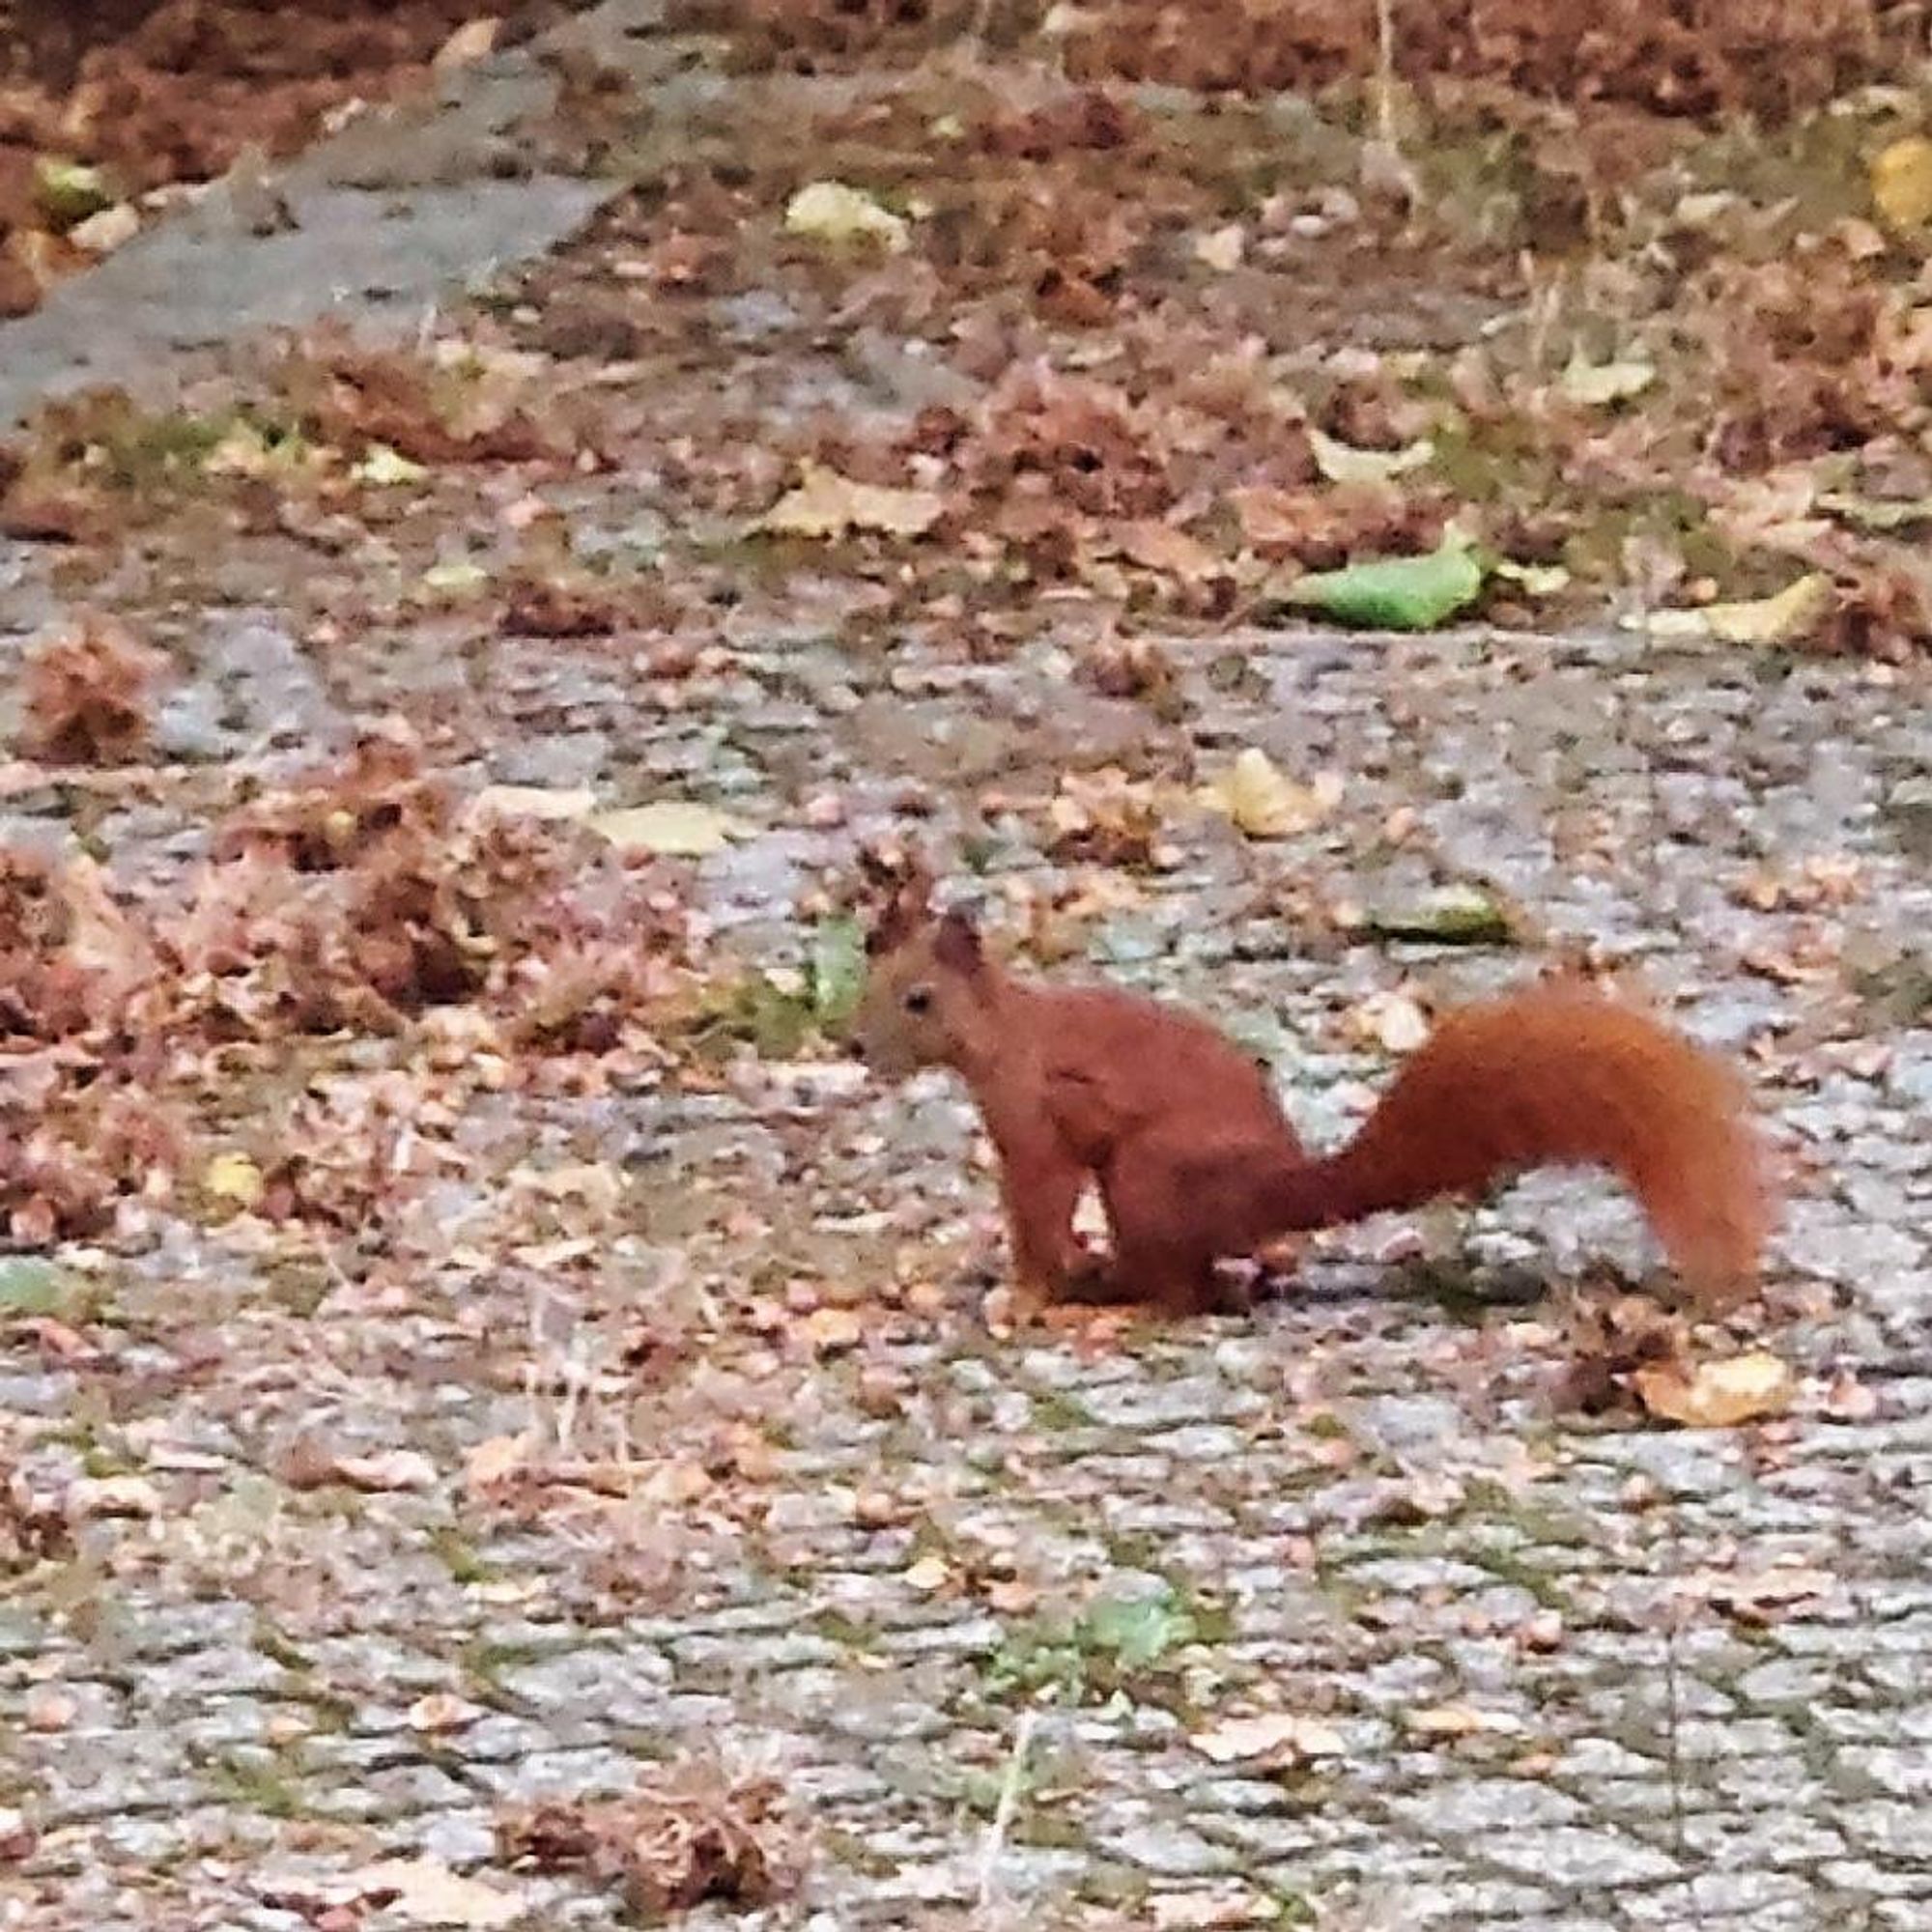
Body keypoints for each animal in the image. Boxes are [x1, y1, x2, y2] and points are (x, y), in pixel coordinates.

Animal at [854, 869, 1770, 1321]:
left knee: (1183, 1287)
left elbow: (1041, 1201)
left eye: (919, 1000)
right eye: (872, 979)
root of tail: (1275, 1193)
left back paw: (1118, 1285)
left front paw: (1034, 1283)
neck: (1007, 1036)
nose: (857, 1046)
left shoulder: (1041, 1120)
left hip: (1147, 1176)